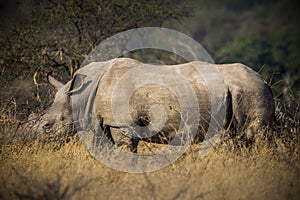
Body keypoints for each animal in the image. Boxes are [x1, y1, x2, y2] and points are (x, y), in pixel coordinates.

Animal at [33, 57, 274, 152]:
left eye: (47, 126)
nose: (35, 144)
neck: (80, 96)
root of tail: (263, 81)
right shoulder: (104, 122)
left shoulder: (122, 123)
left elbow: (125, 150)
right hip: (242, 90)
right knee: (241, 139)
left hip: (252, 90)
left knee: (255, 135)